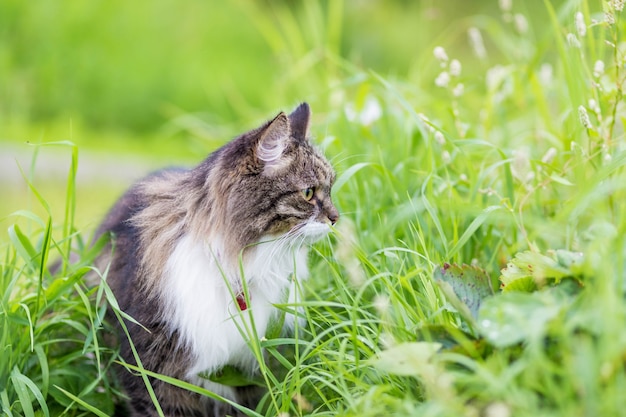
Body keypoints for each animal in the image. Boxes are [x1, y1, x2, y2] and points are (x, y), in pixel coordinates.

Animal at [92, 101, 336, 416]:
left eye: (331, 188)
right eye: (308, 193)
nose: (336, 218)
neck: (238, 265)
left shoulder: (247, 371)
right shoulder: (153, 370)